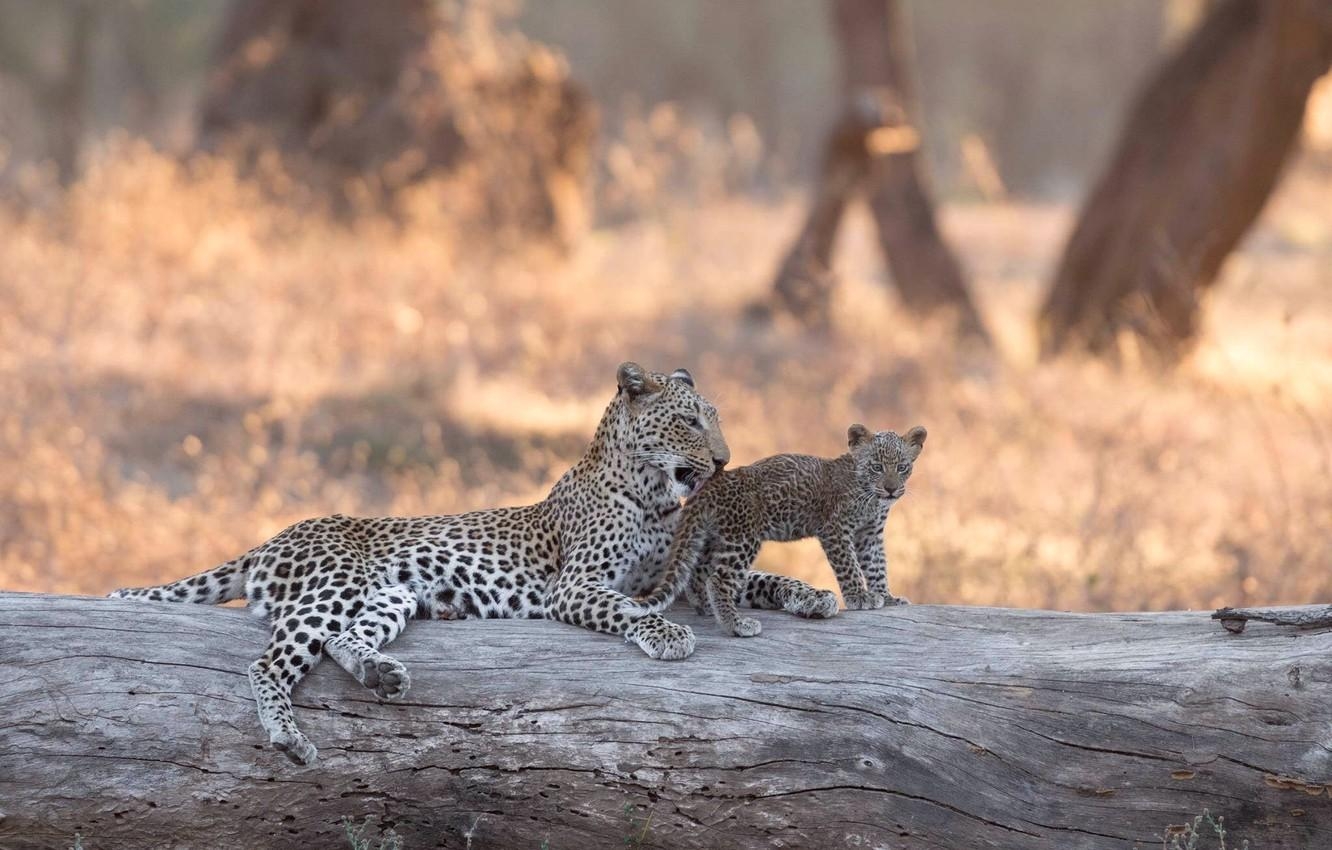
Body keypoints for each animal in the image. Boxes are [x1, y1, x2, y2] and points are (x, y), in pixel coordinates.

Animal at [109, 362, 729, 767]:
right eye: (691, 423)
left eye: (713, 421)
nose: (725, 460)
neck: (652, 494)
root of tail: (272, 537)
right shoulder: (574, 587)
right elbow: (626, 606)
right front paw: (668, 634)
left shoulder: (671, 573)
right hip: (335, 582)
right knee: (269, 664)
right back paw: (289, 738)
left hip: (391, 593)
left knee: (340, 641)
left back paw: (382, 674)